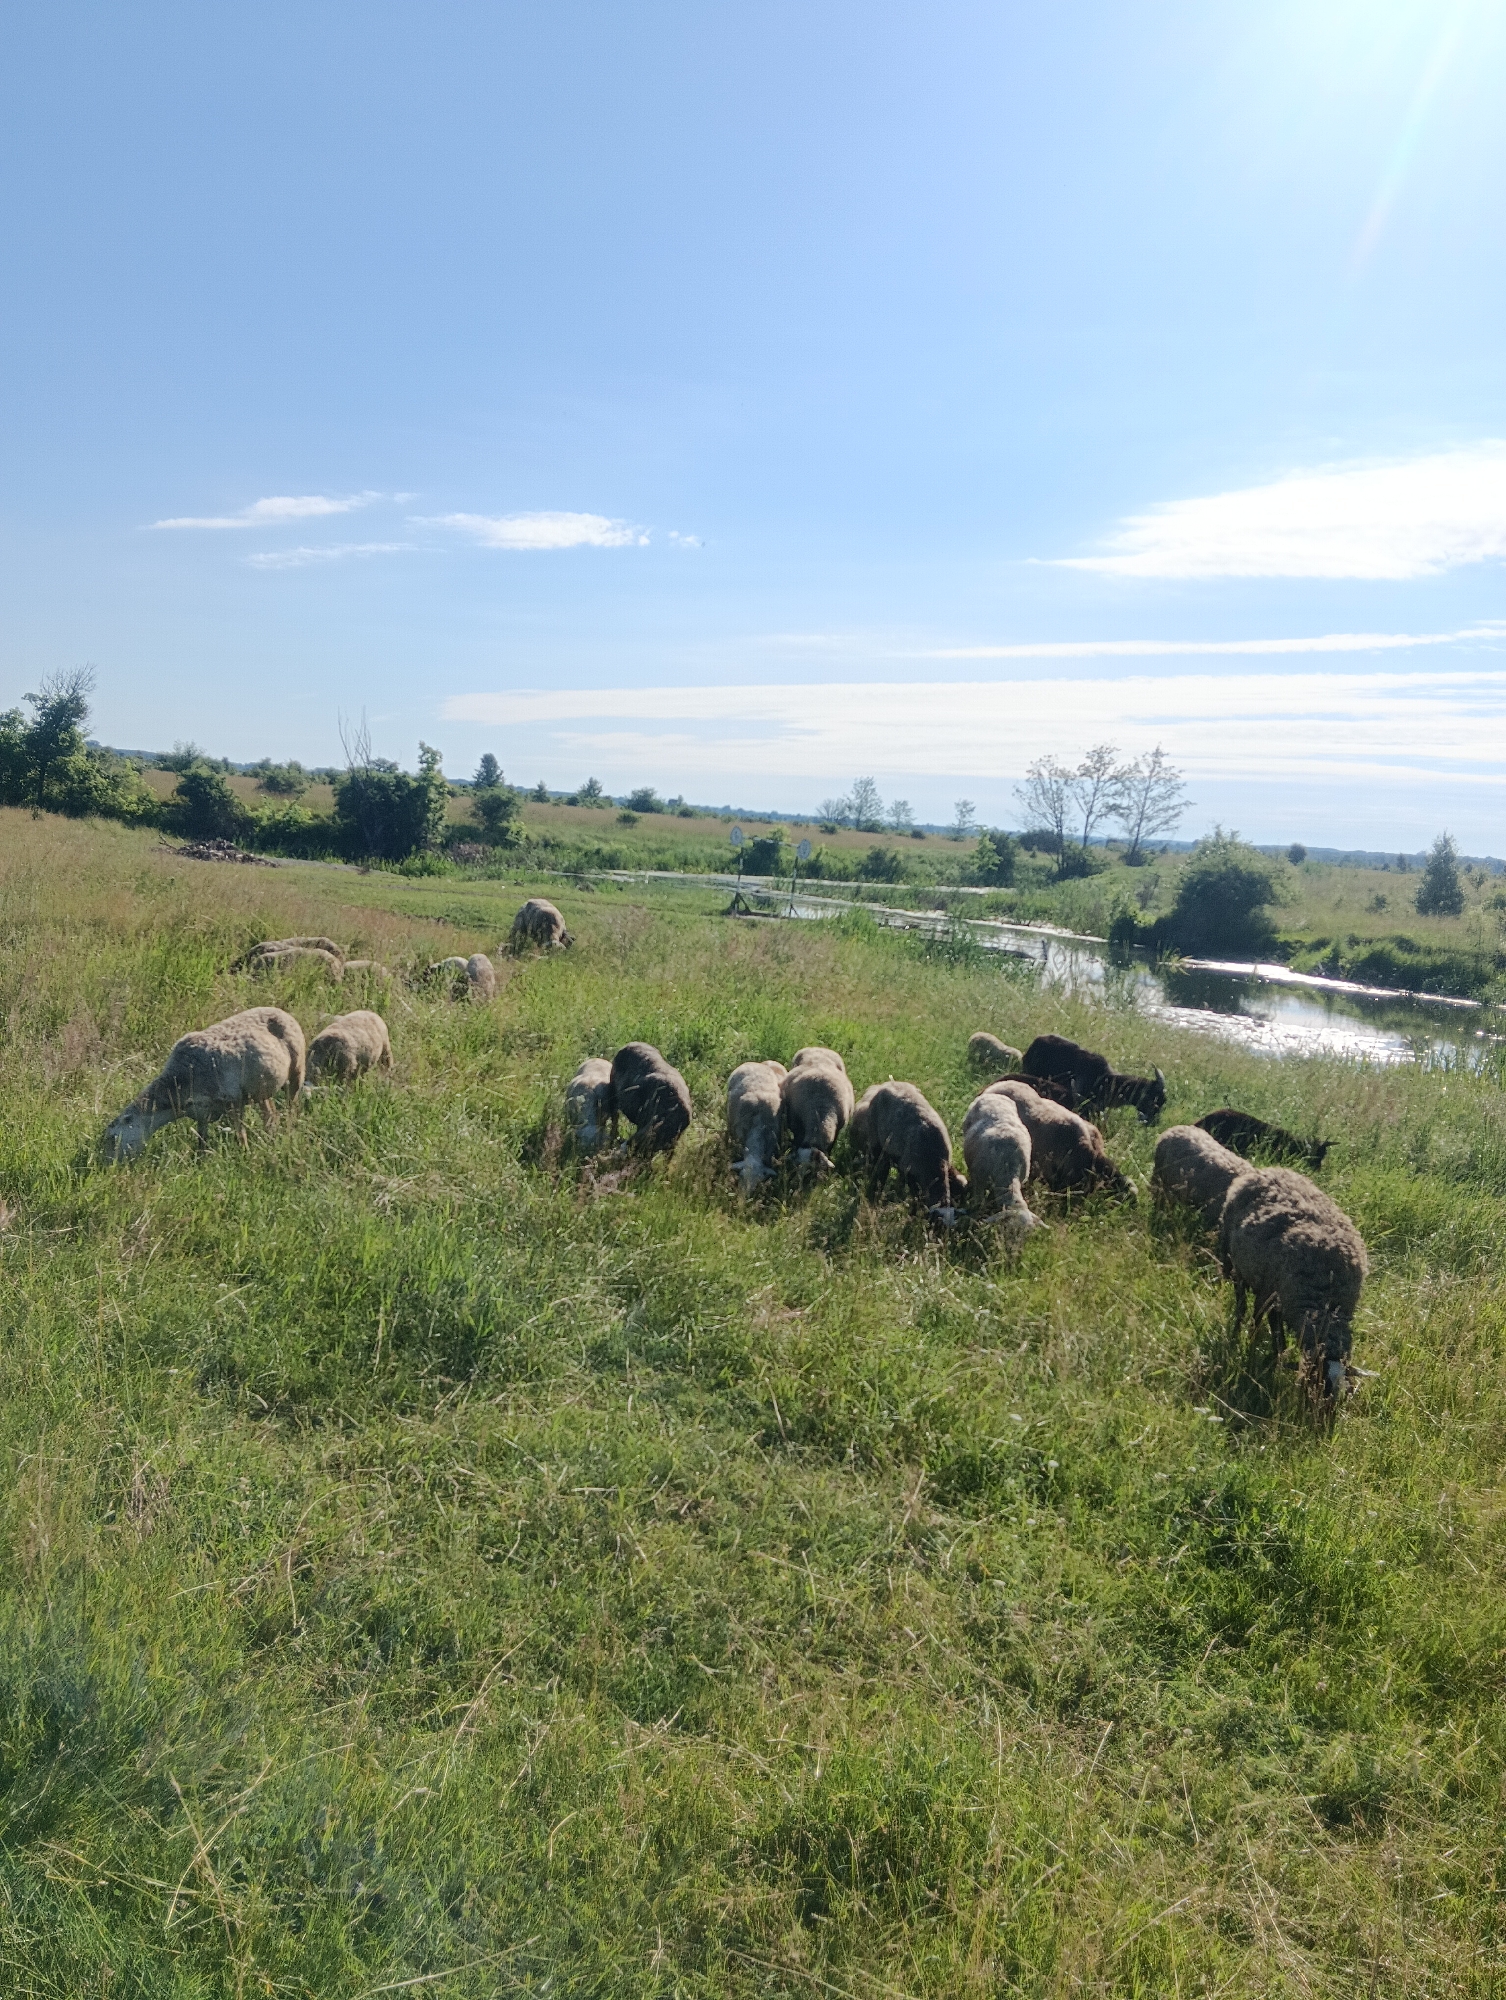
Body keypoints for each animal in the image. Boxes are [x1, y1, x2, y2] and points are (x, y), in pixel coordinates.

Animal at [101, 1006, 306, 1160]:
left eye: (112, 1139)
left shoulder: (233, 1102)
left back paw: (290, 1130)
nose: (107, 1166)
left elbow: (240, 1134)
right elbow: (202, 1140)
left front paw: (244, 1154)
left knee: (292, 1106)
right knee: (270, 1114)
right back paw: (271, 1135)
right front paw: (200, 1161)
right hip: (261, 1087)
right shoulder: (201, 1112)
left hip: (297, 1070)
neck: (179, 1083)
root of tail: (278, 1009)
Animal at [1217, 1166, 1368, 1400]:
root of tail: (1266, 1170)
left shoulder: (1281, 1300)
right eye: (1317, 1381)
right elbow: (1259, 1323)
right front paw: (1252, 1349)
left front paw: (1275, 1359)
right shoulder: (1267, 1293)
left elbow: (1278, 1335)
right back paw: (1235, 1332)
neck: (1326, 1301)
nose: (1320, 1411)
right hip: (1234, 1259)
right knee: (1241, 1302)